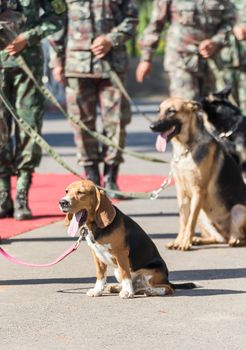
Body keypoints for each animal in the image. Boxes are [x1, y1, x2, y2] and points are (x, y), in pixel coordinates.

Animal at [59, 180, 196, 298]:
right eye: (66, 191)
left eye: (81, 192)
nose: (62, 202)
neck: (95, 227)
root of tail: (167, 278)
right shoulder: (96, 254)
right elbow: (100, 275)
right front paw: (97, 290)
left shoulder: (121, 254)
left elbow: (126, 274)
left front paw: (127, 293)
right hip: (117, 271)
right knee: (137, 286)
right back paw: (118, 287)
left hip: (149, 274)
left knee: (167, 288)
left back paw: (149, 291)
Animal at [150, 97, 246, 252]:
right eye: (159, 111)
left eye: (171, 111)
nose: (152, 126)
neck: (185, 149)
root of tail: (226, 234)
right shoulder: (181, 194)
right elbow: (183, 221)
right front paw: (179, 241)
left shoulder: (198, 191)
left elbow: (190, 221)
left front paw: (184, 243)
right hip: (204, 214)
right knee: (218, 239)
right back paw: (198, 240)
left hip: (237, 210)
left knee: (240, 237)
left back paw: (235, 240)